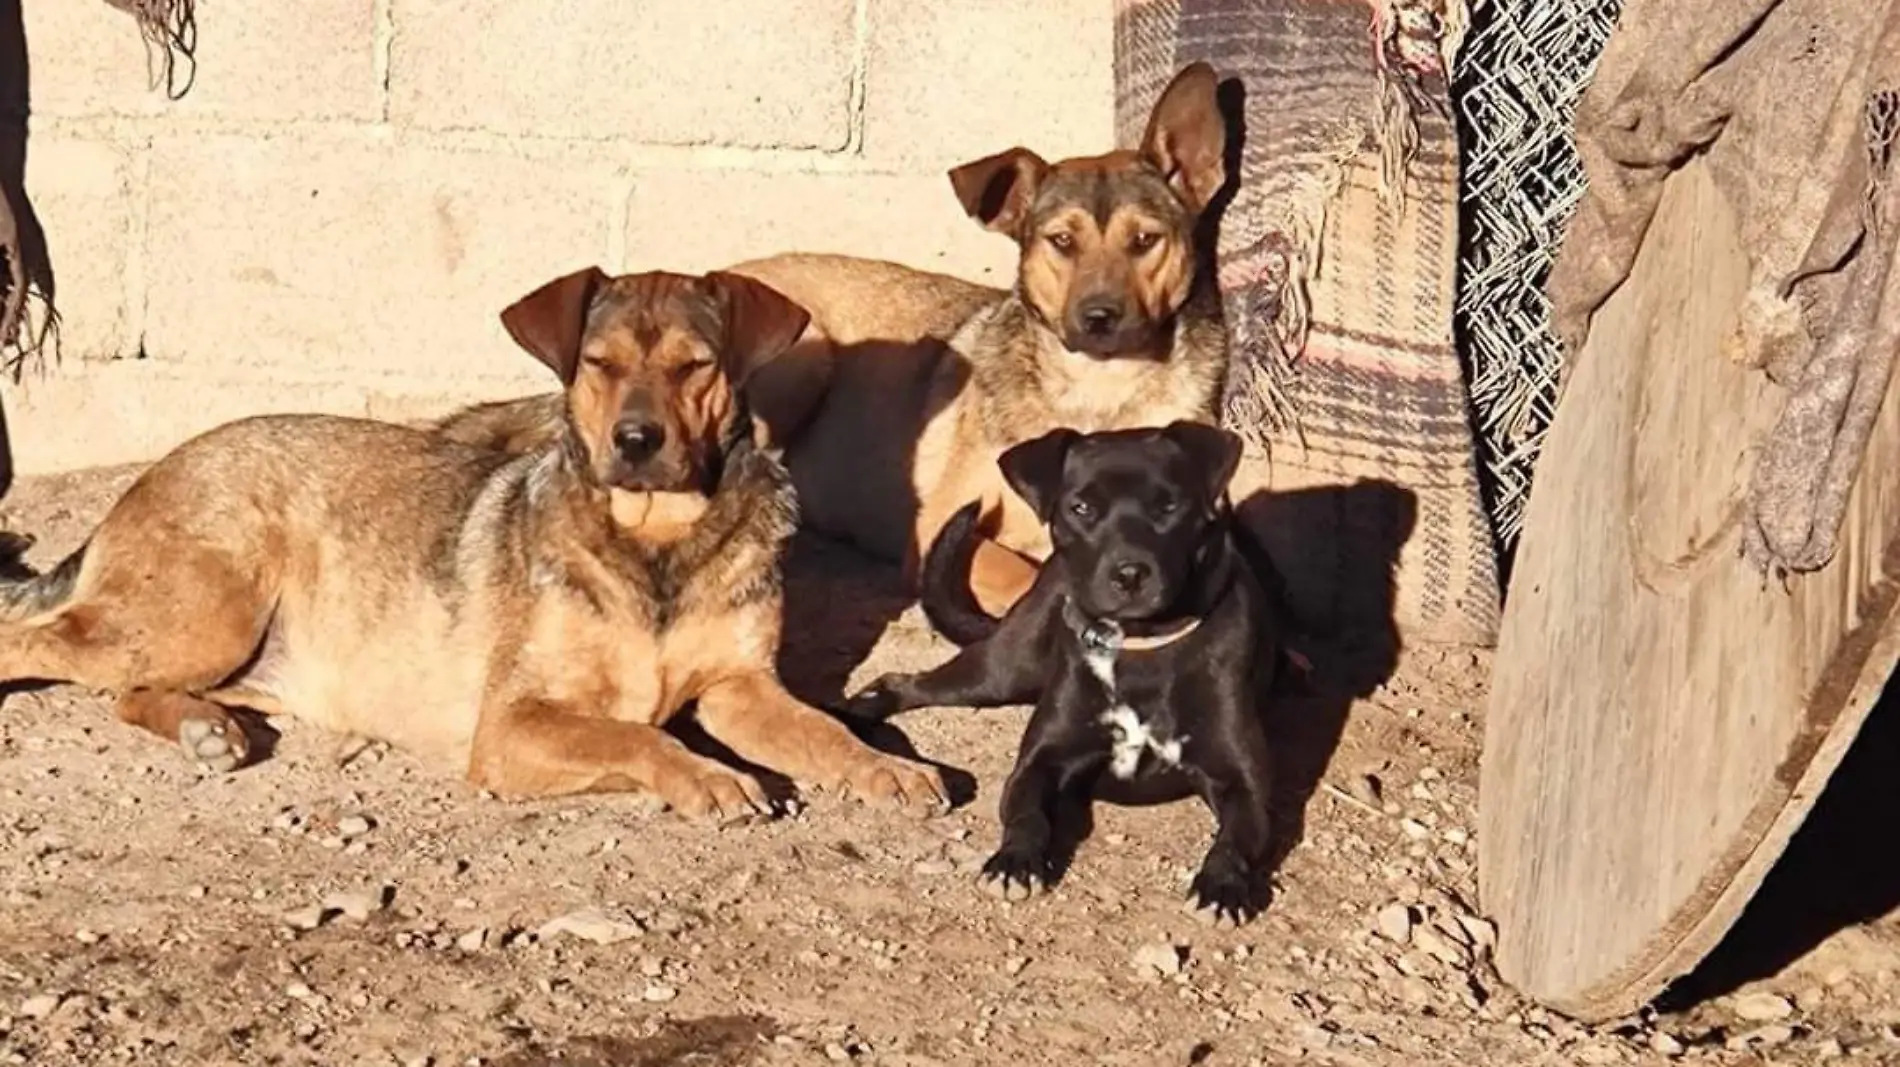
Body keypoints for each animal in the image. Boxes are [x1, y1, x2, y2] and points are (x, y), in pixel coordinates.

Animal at [0, 265, 950, 812]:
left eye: (694, 365)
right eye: (598, 363)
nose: (636, 441)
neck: (656, 544)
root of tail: (154, 469)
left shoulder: (740, 689)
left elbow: (821, 731)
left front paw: (884, 765)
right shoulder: (512, 722)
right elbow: (639, 736)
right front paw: (712, 777)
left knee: (130, 688)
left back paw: (206, 727)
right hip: (204, 611)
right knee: (30, 640)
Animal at [448, 62, 1246, 618]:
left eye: (1145, 240)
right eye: (1061, 242)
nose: (1100, 316)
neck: (1098, 394)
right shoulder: (939, 537)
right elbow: (1021, 573)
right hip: (812, 357)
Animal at [851, 419, 1284, 918]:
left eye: (1169, 506)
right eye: (1081, 508)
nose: (1130, 574)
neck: (1138, 648)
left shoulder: (1244, 783)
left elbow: (1236, 839)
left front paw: (1222, 885)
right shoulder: (1041, 761)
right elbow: (1027, 814)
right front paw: (1014, 862)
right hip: (1001, 671)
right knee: (906, 682)